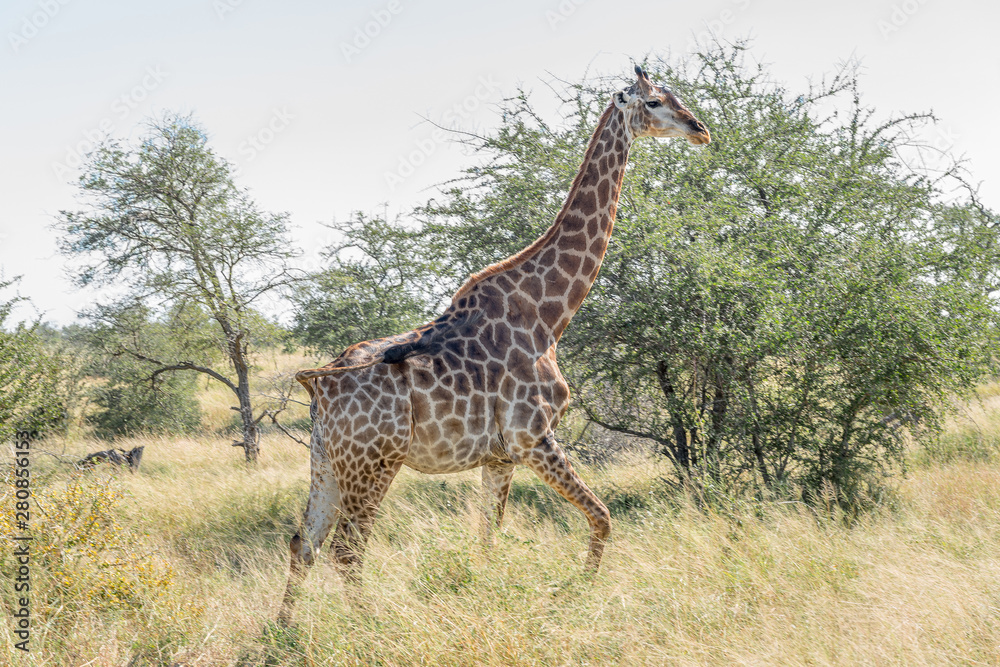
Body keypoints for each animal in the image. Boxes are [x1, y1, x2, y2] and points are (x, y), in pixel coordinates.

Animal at [277, 66, 710, 624]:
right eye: (655, 102)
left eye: (675, 95)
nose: (700, 128)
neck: (548, 315)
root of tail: (316, 384)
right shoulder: (533, 437)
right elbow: (603, 517)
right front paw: (576, 595)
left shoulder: (499, 456)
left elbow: (487, 538)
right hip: (373, 465)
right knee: (346, 552)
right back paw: (368, 625)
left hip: (327, 463)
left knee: (303, 543)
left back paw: (282, 630)